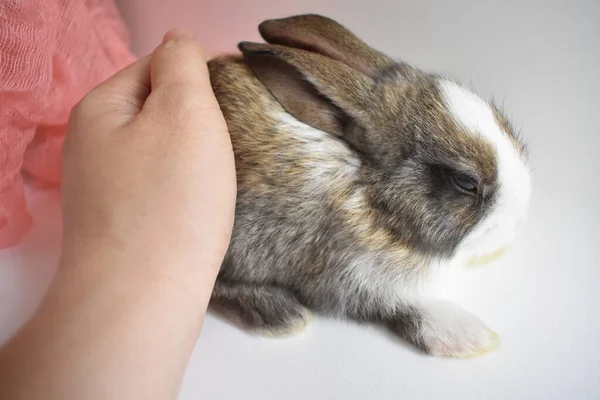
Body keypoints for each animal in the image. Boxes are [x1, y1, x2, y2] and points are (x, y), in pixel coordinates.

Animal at [205, 14, 528, 358]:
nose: (518, 223)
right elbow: (400, 305)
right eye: (464, 182)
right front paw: (470, 337)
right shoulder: (350, 278)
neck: (369, 194)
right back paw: (280, 314)